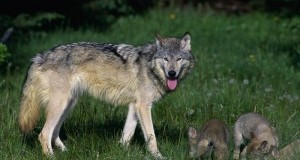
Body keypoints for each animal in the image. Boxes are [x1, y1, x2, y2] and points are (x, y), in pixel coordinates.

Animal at [18, 32, 195, 159]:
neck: (150, 67)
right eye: (165, 59)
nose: (172, 73)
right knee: (44, 134)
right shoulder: (143, 106)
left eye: (178, 59)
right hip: (60, 105)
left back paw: (67, 152)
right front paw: (159, 157)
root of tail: (39, 56)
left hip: (68, 105)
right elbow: (152, 137)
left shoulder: (135, 106)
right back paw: (52, 156)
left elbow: (127, 135)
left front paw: (123, 152)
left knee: (54, 134)